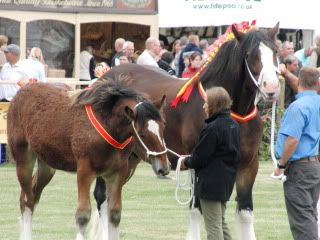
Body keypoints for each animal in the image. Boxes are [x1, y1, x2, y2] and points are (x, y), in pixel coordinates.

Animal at [6, 80, 170, 240]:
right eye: (142, 134)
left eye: (163, 127)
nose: (164, 167)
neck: (106, 124)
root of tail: (20, 92)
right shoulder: (85, 171)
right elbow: (83, 215)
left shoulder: (117, 173)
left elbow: (114, 214)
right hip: (23, 160)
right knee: (27, 201)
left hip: (47, 166)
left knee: (31, 197)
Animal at [100, 23, 280, 240]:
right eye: (249, 54)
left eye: (275, 51)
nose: (271, 87)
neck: (231, 114)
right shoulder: (197, 162)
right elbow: (196, 209)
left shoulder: (248, 166)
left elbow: (244, 214)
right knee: (101, 200)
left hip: (131, 159)